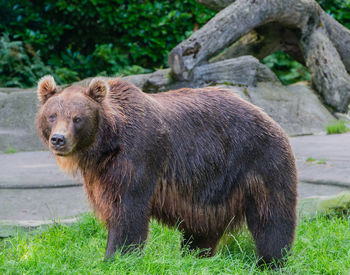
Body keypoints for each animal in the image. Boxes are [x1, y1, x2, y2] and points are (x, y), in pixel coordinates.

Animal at [36, 75, 298, 268]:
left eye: (77, 118)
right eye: (52, 115)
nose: (58, 139)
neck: (107, 145)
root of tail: (266, 114)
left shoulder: (138, 157)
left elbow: (127, 212)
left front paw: (115, 257)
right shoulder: (102, 175)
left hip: (259, 160)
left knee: (272, 217)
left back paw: (271, 261)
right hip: (210, 187)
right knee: (203, 227)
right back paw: (194, 255)